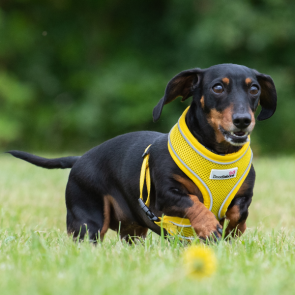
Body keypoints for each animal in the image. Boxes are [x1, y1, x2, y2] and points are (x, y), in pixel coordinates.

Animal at [8, 63, 278, 242]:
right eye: (218, 87)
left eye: (254, 89)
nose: (242, 121)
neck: (218, 157)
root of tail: (80, 158)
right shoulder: (167, 196)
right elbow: (193, 202)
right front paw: (209, 225)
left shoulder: (245, 195)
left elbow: (238, 212)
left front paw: (234, 230)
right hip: (89, 222)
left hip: (133, 229)